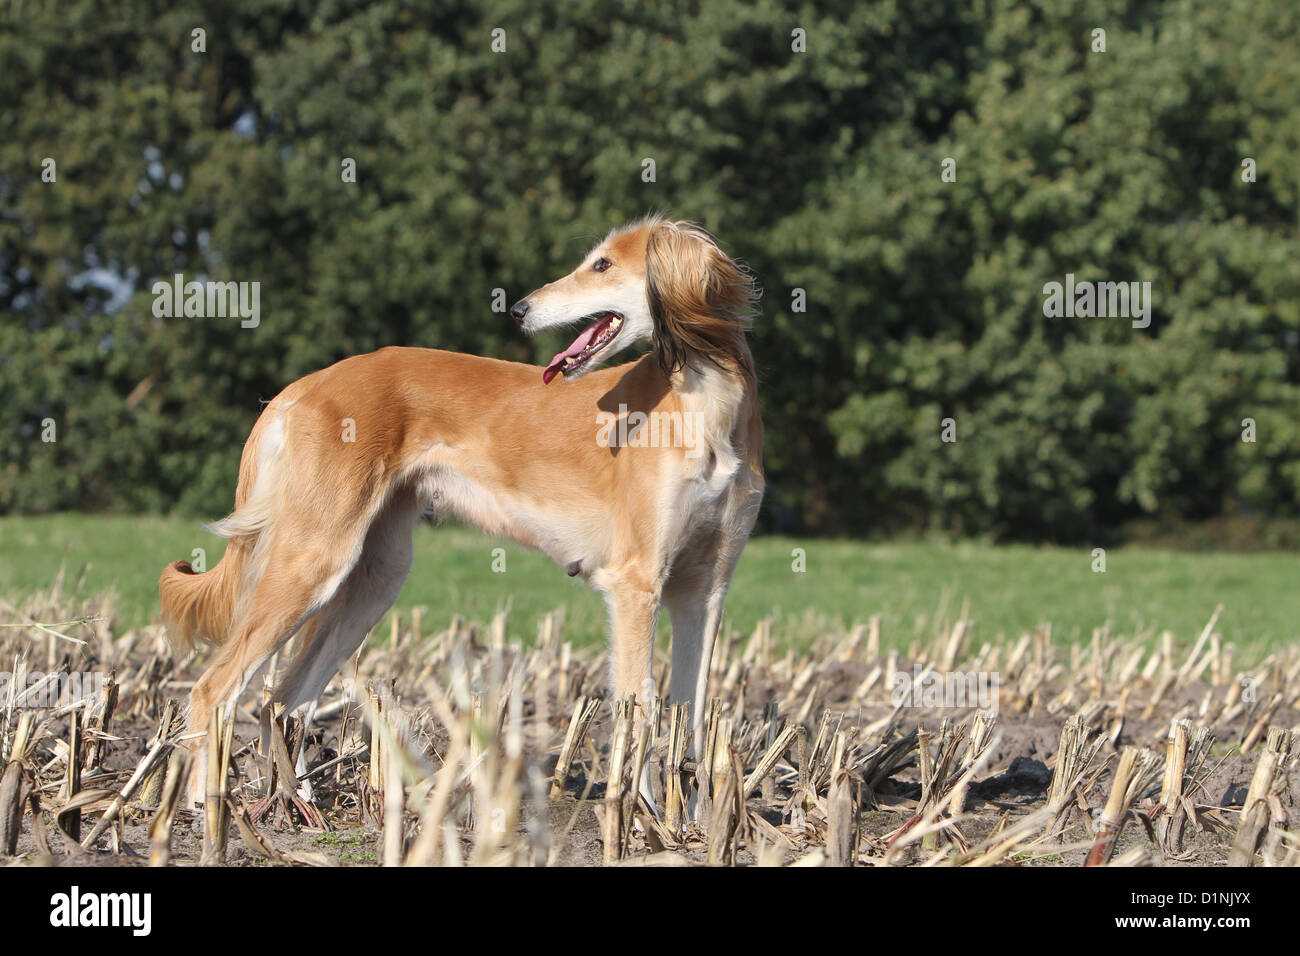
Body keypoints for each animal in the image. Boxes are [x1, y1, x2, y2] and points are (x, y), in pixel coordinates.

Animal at [166, 213, 764, 806]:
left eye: (602, 265)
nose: (519, 309)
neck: (706, 403)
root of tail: (308, 383)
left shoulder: (703, 590)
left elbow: (691, 716)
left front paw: (688, 817)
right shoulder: (636, 583)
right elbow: (640, 709)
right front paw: (639, 812)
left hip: (374, 577)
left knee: (284, 701)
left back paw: (296, 809)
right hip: (314, 559)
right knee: (214, 690)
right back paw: (201, 806)